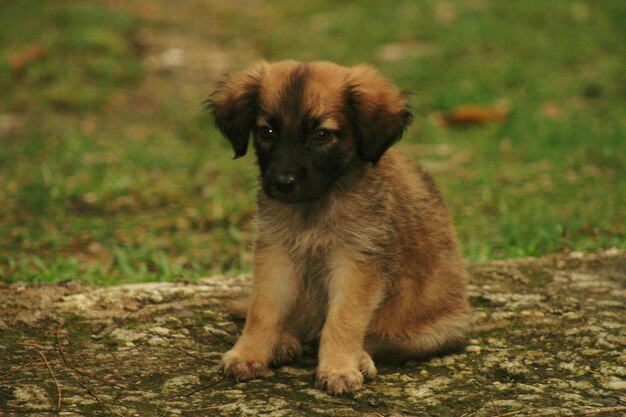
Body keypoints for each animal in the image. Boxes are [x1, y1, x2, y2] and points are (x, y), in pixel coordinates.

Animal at [208, 61, 468, 394]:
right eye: (267, 132)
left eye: (322, 135)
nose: (282, 183)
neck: (317, 204)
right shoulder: (276, 251)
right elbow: (263, 308)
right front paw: (249, 353)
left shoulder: (357, 260)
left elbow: (344, 319)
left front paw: (339, 368)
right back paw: (284, 340)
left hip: (433, 333)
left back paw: (361, 358)